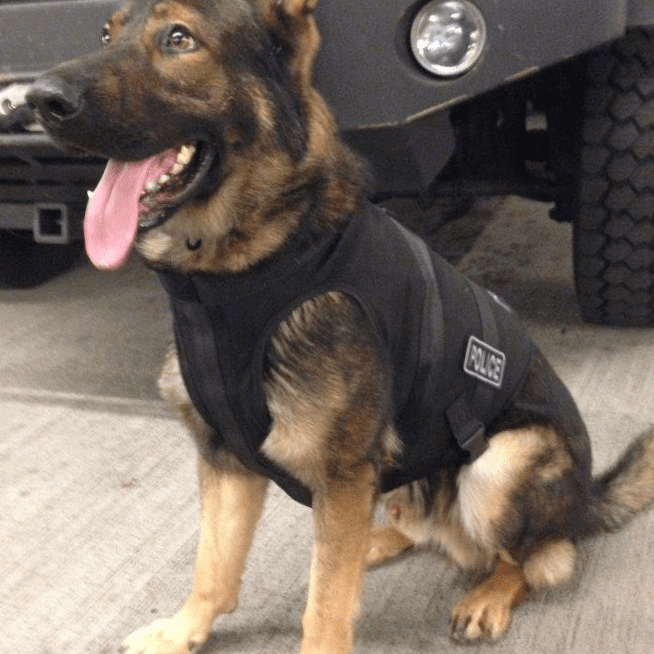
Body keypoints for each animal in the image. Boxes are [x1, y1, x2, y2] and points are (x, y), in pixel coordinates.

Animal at [28, 1, 654, 654]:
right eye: (105, 33)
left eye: (179, 39)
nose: (34, 98)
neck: (244, 271)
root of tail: (587, 498)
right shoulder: (228, 460)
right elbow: (214, 567)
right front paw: (183, 630)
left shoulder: (340, 472)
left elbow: (324, 607)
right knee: (420, 531)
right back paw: (378, 543)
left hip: (501, 465)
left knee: (540, 556)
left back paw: (489, 594)